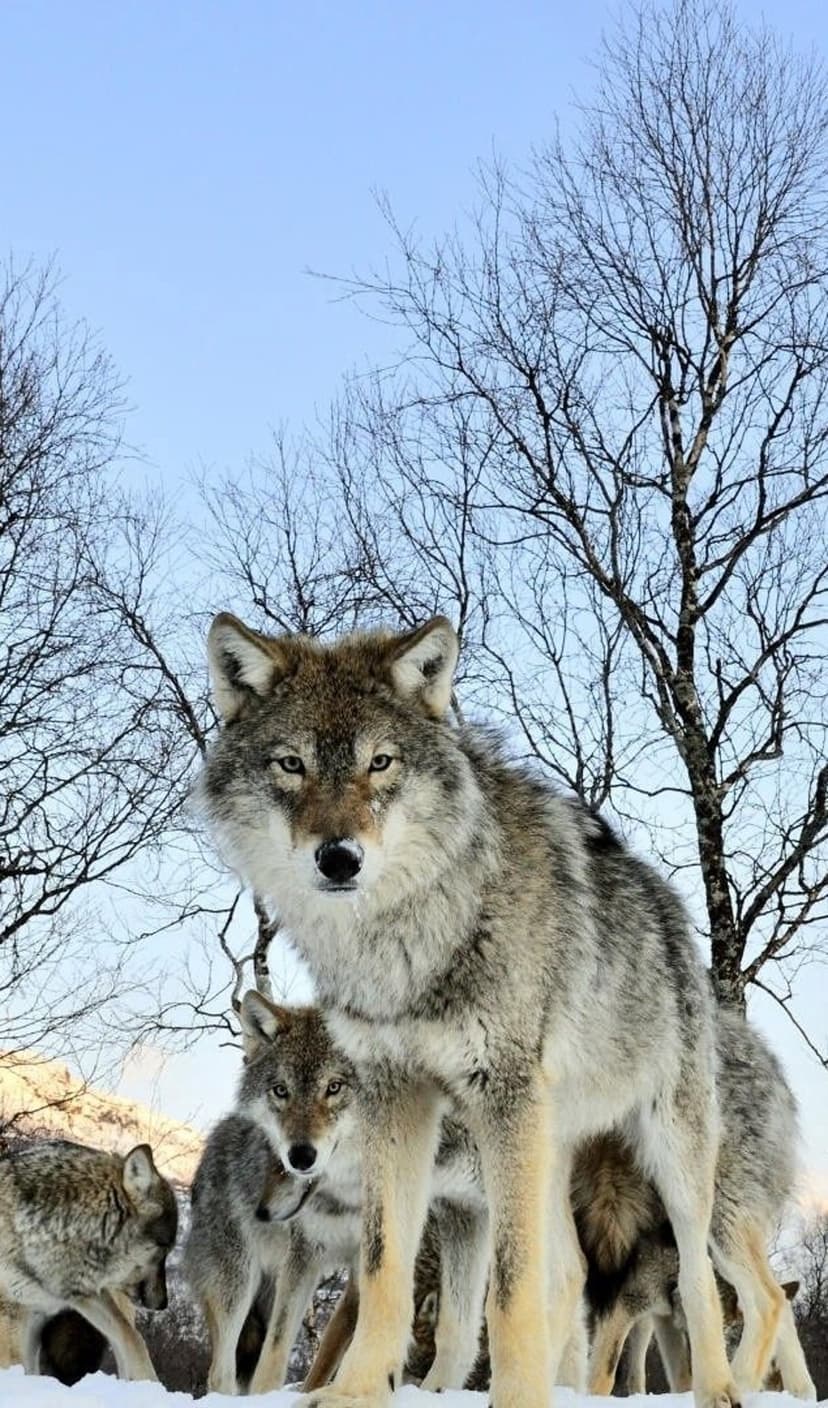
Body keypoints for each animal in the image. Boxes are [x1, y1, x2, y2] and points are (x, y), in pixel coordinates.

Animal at [200, 611, 741, 1408]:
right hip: (547, 1149)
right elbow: (385, 1267)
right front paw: (355, 1389)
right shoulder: (396, 1096)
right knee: (571, 1272)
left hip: (665, 1150)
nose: (339, 859)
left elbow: (509, 1288)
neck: (408, 941)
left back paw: (719, 1390)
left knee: (696, 1275)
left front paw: (516, 1399)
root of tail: (667, 903)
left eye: (381, 762)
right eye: (291, 764)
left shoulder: (500, 1097)